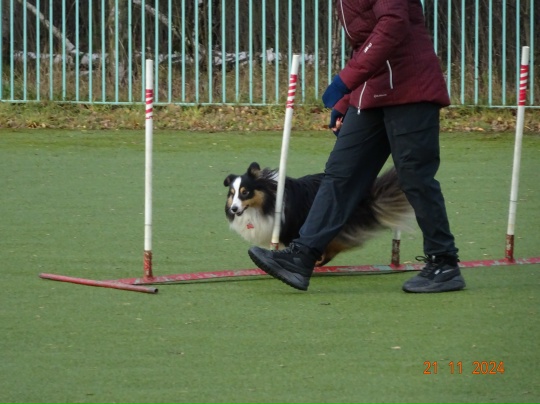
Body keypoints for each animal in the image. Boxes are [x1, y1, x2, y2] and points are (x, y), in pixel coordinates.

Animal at [224, 162, 413, 266]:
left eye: (245, 192)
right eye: (232, 193)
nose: (233, 209)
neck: (268, 201)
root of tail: (369, 194)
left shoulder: (292, 228)